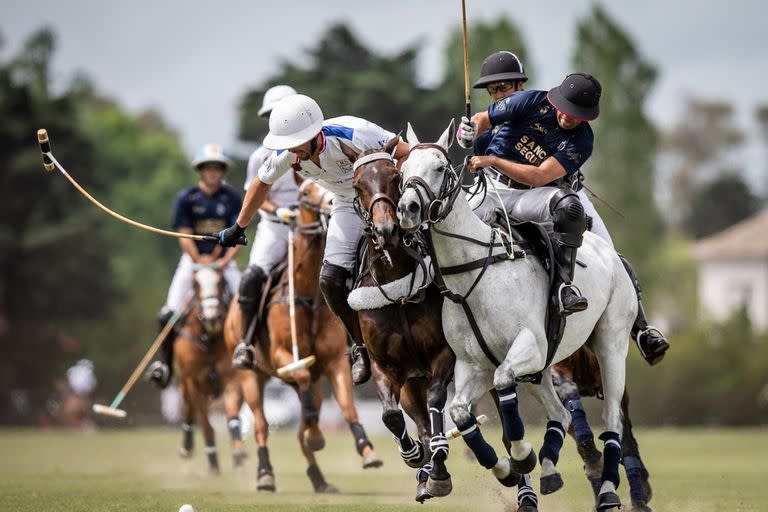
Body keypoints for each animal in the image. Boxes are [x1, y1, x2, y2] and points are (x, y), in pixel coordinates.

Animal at [175, 264, 244, 476]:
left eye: (221, 281)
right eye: (195, 284)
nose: (212, 317)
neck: (209, 339)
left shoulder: (232, 379)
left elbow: (232, 416)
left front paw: (239, 454)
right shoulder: (193, 382)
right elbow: (206, 425)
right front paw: (213, 464)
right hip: (185, 384)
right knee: (188, 410)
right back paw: (187, 448)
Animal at [225, 181, 384, 496]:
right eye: (305, 193)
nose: (333, 203)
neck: (309, 294)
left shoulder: (333, 362)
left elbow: (347, 407)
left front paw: (367, 451)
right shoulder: (282, 355)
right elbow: (300, 382)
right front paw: (316, 436)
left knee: (301, 422)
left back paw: (319, 478)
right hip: (251, 376)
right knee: (261, 424)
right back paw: (265, 474)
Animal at [396, 122, 636, 510]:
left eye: (439, 167)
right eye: (403, 172)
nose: (408, 209)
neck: (474, 272)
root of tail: (610, 252)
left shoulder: (528, 347)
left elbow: (505, 383)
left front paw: (522, 454)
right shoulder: (473, 365)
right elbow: (460, 412)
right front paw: (507, 469)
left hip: (610, 344)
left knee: (612, 418)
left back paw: (608, 491)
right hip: (543, 368)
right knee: (560, 413)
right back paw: (550, 469)